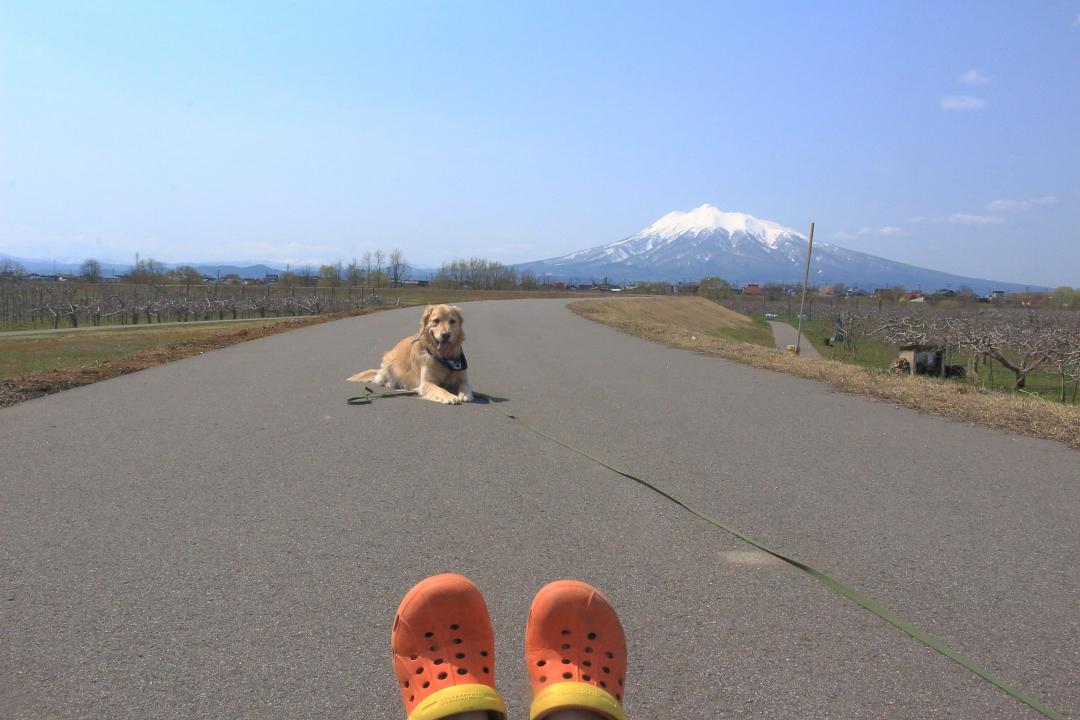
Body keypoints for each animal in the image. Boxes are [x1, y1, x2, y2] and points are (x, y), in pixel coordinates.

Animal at [347, 304, 475, 405]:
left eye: (452, 321)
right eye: (436, 321)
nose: (446, 334)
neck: (443, 358)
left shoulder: (462, 378)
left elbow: (465, 386)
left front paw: (465, 394)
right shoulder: (426, 383)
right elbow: (440, 389)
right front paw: (450, 396)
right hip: (388, 361)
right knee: (382, 379)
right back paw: (389, 383)